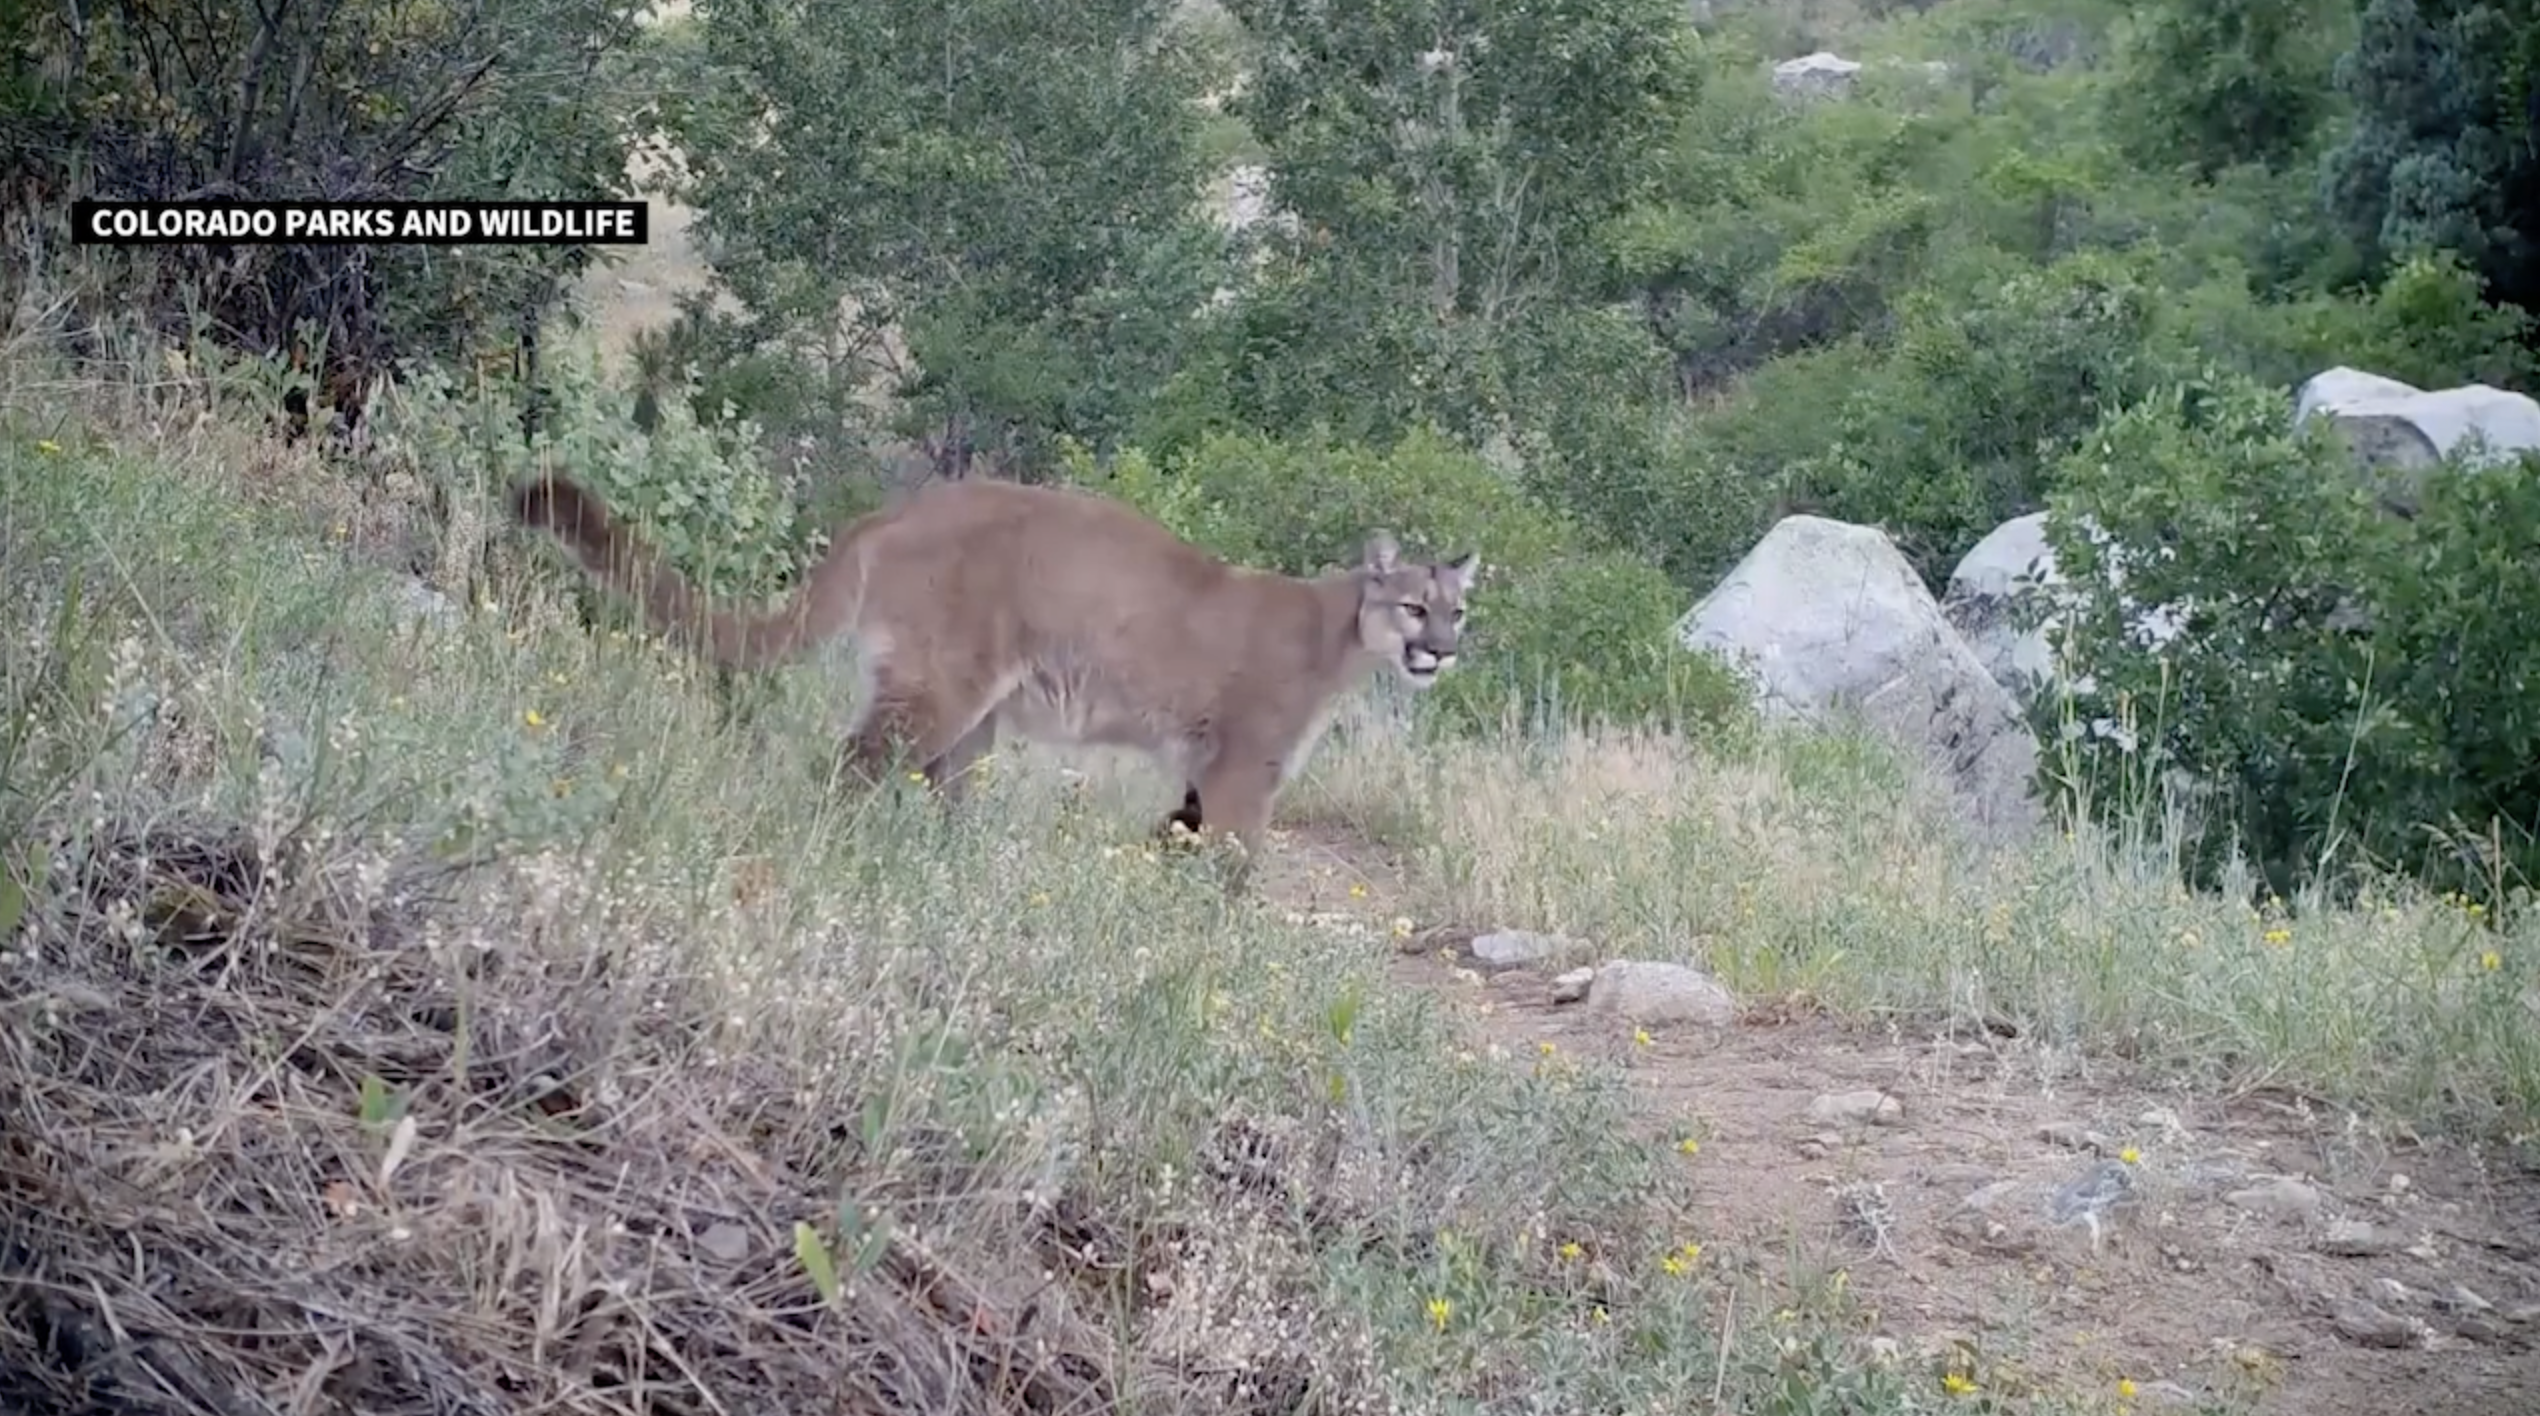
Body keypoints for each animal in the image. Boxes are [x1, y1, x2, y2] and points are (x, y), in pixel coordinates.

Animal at [506, 473, 1480, 865]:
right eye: (1413, 606)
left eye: (1457, 608)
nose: (1442, 650)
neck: (1340, 637)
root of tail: (896, 509)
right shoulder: (1245, 771)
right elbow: (1236, 867)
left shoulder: (1200, 775)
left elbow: (1180, 840)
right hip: (940, 689)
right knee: (851, 766)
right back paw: (846, 853)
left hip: (973, 722)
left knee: (932, 789)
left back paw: (955, 866)